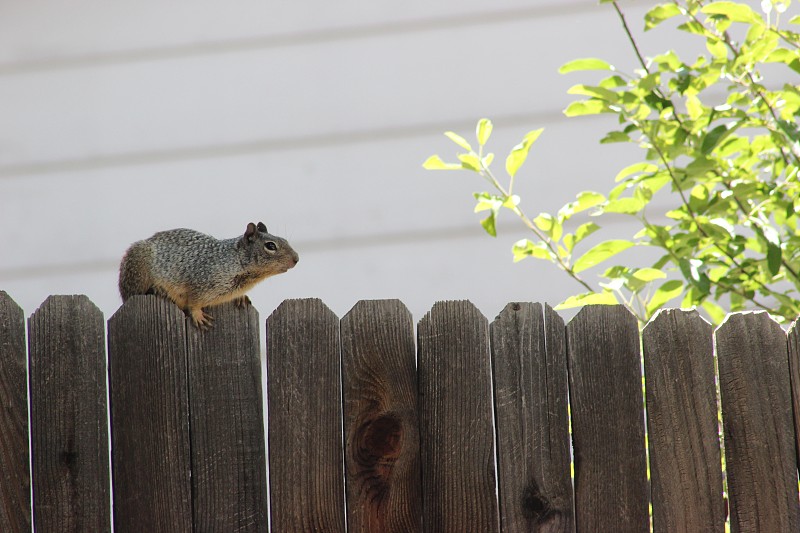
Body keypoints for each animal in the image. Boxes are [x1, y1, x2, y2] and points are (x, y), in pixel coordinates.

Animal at [117, 221, 296, 328]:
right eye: (270, 246)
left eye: (285, 241)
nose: (297, 259)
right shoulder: (201, 282)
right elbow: (194, 302)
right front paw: (198, 316)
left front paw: (241, 297)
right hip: (138, 269)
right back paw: (158, 290)